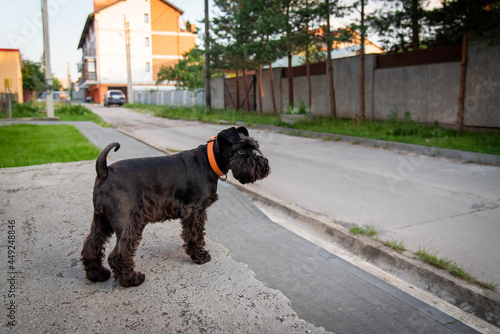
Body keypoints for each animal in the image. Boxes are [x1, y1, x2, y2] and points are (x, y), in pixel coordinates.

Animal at [81, 126, 270, 286]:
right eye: (240, 150)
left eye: (254, 147)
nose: (262, 166)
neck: (208, 161)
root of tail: (105, 172)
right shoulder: (194, 211)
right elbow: (194, 234)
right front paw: (200, 256)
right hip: (128, 223)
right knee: (117, 254)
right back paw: (131, 279)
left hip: (102, 221)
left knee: (91, 246)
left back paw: (97, 274)